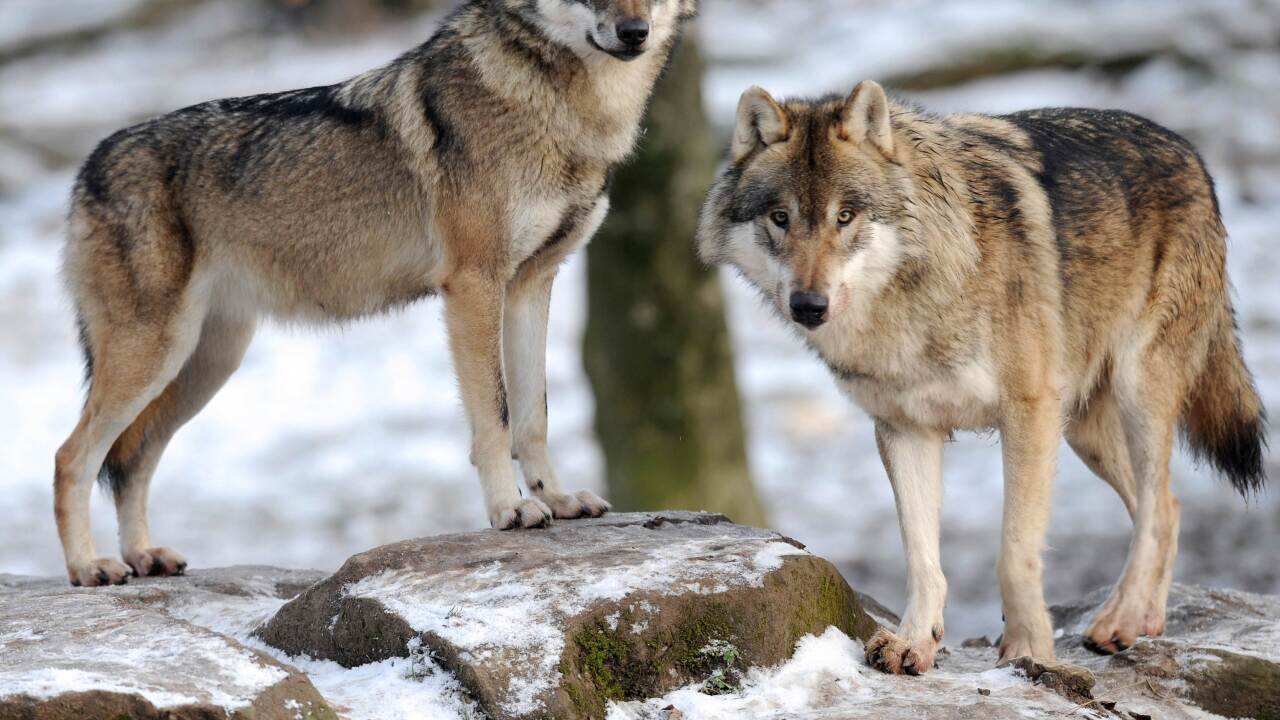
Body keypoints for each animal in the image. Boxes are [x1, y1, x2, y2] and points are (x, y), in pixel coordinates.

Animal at [54, 0, 697, 587]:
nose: (634, 32)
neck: (565, 108)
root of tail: (88, 166)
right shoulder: (474, 285)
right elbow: (495, 417)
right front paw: (510, 509)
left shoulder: (531, 286)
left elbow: (534, 415)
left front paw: (557, 500)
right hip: (155, 356)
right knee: (72, 456)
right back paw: (90, 567)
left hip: (205, 365)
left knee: (132, 460)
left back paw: (144, 556)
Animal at [697, 80, 1267, 672]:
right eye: (780, 218)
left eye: (846, 216)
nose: (809, 305)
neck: (912, 302)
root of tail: (1189, 150)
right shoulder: (906, 428)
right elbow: (921, 556)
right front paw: (914, 641)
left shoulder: (1028, 414)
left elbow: (1015, 553)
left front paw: (1029, 649)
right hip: (1084, 431)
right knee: (1169, 508)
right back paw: (1146, 620)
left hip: (1136, 394)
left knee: (1157, 508)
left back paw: (1122, 619)